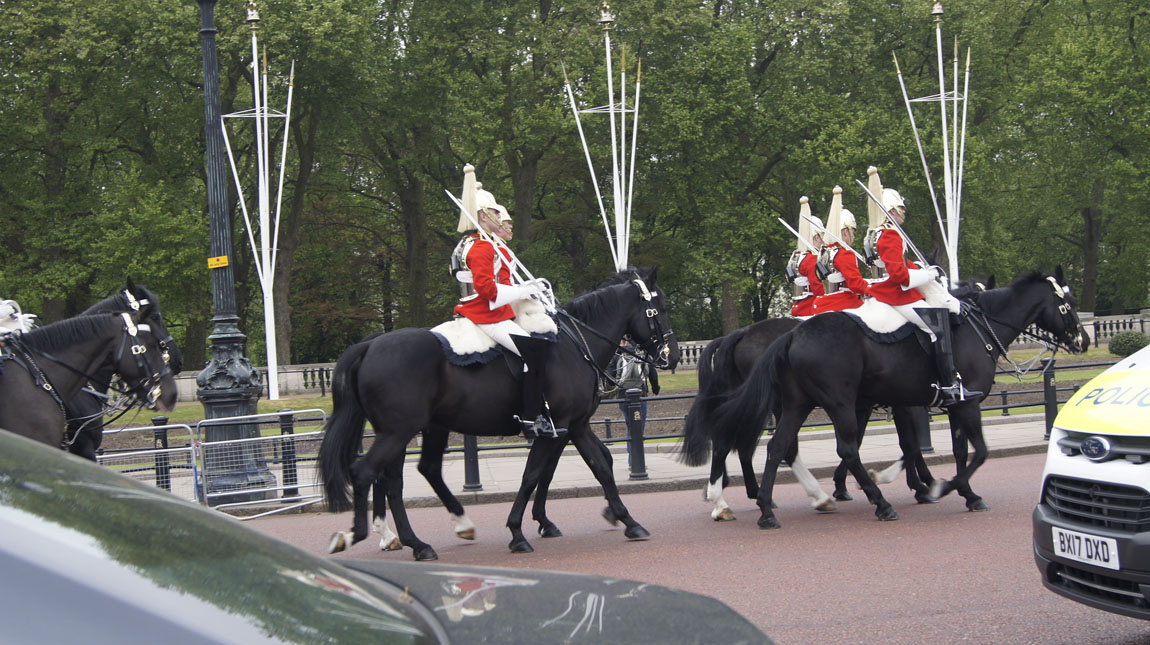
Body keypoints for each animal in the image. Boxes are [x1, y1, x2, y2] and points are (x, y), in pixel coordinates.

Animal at [319, 266, 676, 558]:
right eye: (659, 308)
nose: (670, 357)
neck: (576, 346)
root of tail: (371, 344)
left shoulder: (573, 426)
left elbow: (597, 466)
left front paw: (625, 519)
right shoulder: (557, 426)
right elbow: (534, 474)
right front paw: (518, 531)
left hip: (420, 428)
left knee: (408, 474)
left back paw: (421, 538)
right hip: (399, 431)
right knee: (368, 473)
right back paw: (368, 534)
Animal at [708, 269, 1085, 526]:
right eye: (1067, 304)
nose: (1081, 340)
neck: (975, 329)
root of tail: (791, 336)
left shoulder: (938, 405)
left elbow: (945, 449)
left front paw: (952, 490)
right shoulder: (962, 403)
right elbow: (975, 451)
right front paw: (940, 487)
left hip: (797, 405)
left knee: (774, 447)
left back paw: (767, 508)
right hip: (835, 404)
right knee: (836, 449)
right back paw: (877, 503)